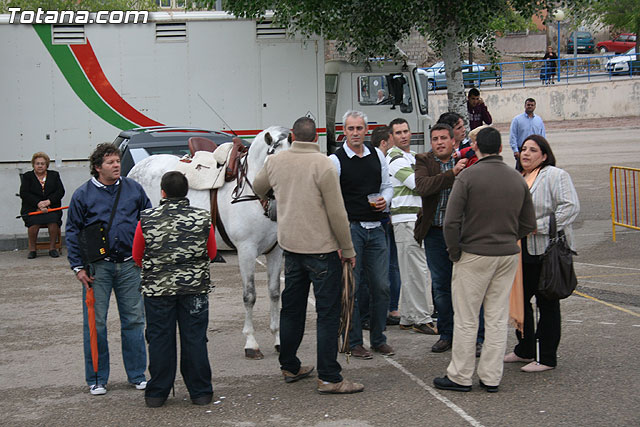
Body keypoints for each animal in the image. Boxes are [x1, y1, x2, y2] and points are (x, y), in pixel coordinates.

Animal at [128, 126, 292, 358]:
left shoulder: (275, 251)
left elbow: (275, 293)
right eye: (273, 159)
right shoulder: (247, 250)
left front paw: (278, 340)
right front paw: (251, 343)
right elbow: (249, 296)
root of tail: (136, 169)